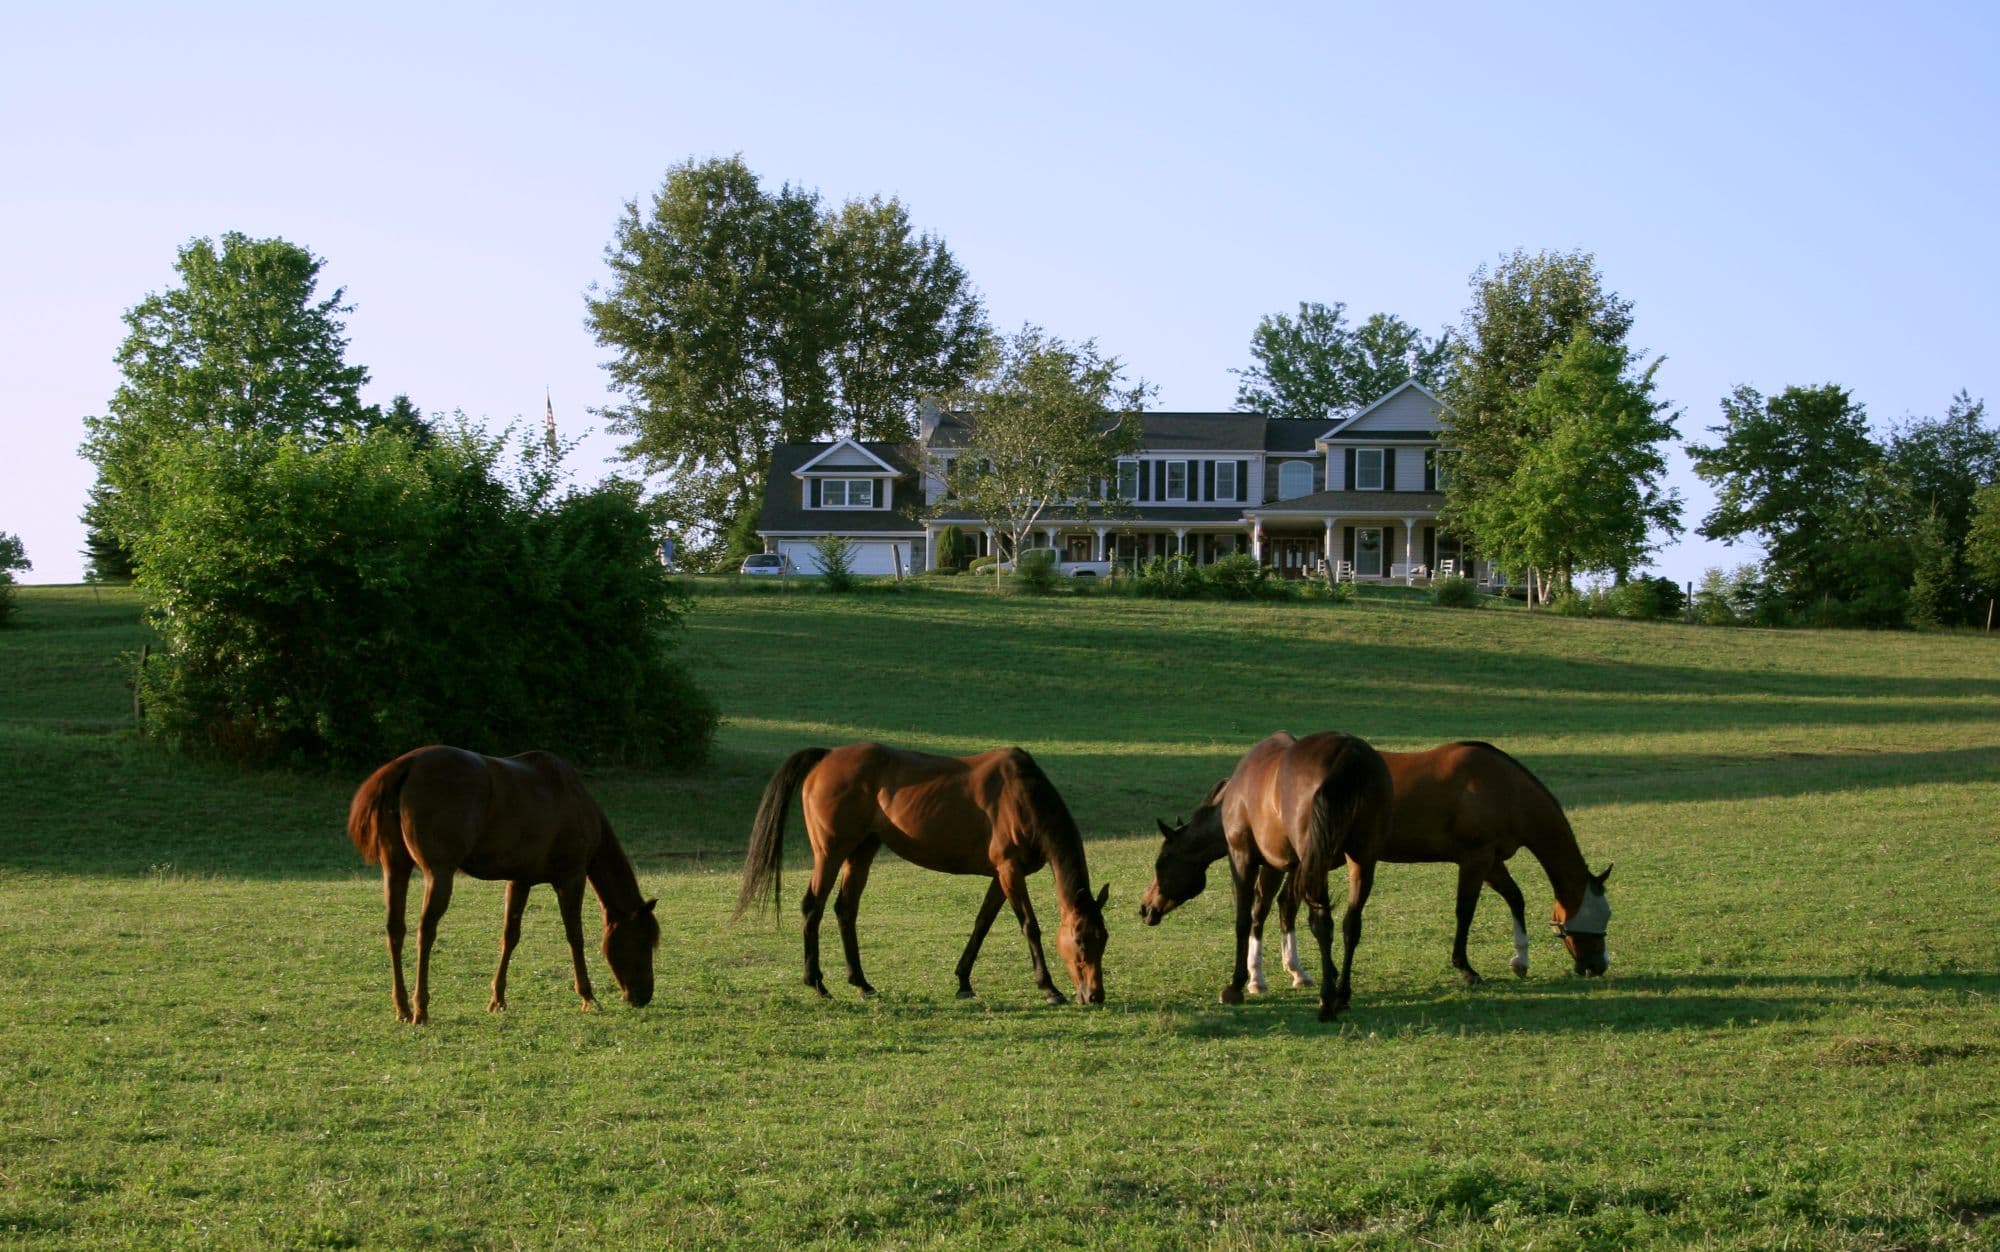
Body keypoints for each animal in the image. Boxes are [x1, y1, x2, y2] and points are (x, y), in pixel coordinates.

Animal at [347, 745, 660, 1024]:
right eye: (643, 941)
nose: (644, 996)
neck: (571, 797)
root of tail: (408, 764)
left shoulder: (520, 880)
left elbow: (510, 936)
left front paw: (497, 999)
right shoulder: (571, 878)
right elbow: (575, 937)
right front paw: (587, 996)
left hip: (395, 868)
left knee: (395, 929)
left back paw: (402, 1007)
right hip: (439, 874)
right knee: (425, 931)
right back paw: (420, 1008)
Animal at [734, 743, 1110, 1006]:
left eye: (1103, 938)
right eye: (1079, 939)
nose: (1095, 995)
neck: (1023, 796)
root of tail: (827, 757)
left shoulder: (1000, 875)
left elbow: (982, 924)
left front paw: (963, 981)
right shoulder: (1010, 870)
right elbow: (1029, 926)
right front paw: (1049, 988)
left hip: (862, 851)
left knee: (845, 909)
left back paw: (862, 983)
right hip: (830, 853)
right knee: (813, 906)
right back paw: (817, 983)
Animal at [1138, 730, 1393, 1021]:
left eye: (1162, 862)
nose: (1145, 908)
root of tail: (1348, 751)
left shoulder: (1242, 858)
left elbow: (1244, 918)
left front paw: (1238, 983)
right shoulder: (1285, 865)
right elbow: (1277, 908)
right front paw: (1282, 973)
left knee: (1322, 923)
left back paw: (1327, 1001)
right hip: (1361, 860)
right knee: (1351, 924)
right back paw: (1341, 994)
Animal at [1251, 741, 1614, 992]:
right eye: (1600, 916)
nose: (1598, 965)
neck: (1501, 787)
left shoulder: (1492, 862)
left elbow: (1515, 898)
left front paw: (1520, 959)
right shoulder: (1475, 860)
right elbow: (1465, 912)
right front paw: (1466, 969)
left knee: (1285, 905)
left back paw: (1296, 971)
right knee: (1265, 906)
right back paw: (1260, 977)